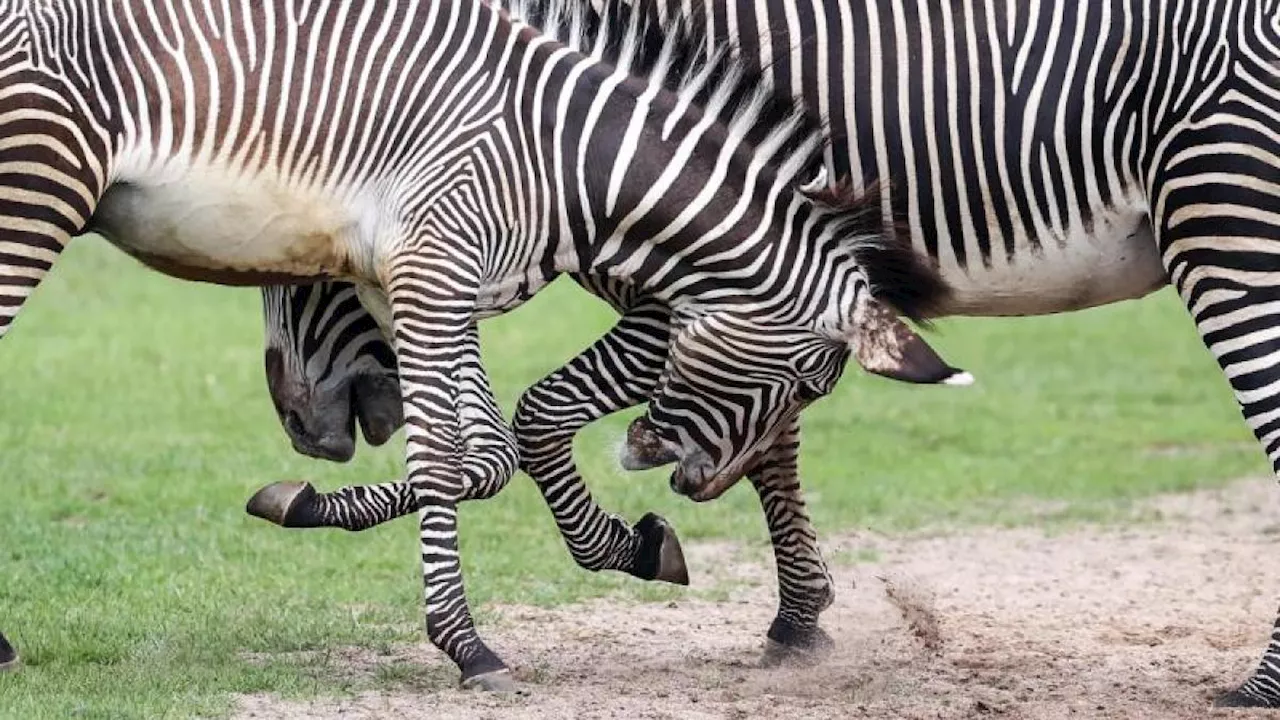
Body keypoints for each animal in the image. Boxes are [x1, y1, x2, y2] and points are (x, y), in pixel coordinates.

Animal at [0, 0, 962, 681]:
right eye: (811, 383)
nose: (688, 481)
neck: (568, 161)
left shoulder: (447, 288)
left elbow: (489, 457)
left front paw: (634, 547)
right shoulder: (431, 273)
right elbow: (445, 465)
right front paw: (467, 648)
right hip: (36, 194)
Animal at [241, 0, 1280, 707]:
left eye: (306, 267)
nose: (293, 423)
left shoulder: (691, 291)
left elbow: (537, 421)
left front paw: (639, 545)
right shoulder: (765, 294)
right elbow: (767, 438)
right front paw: (798, 615)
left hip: (1225, 225)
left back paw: (1259, 685)